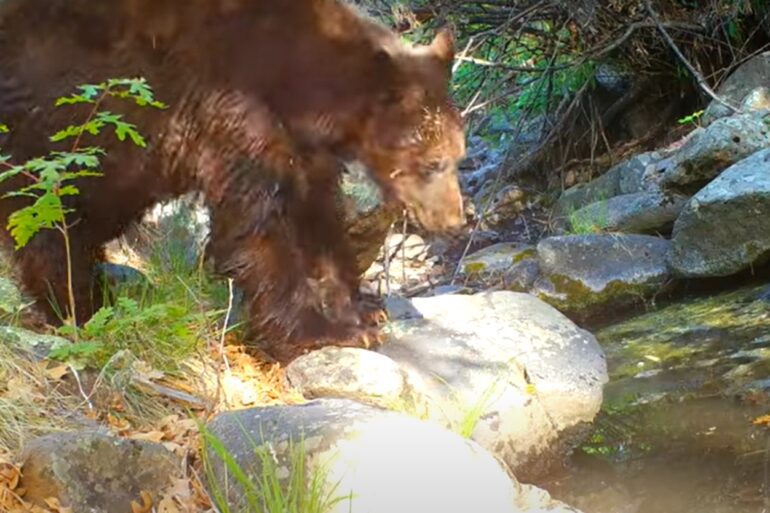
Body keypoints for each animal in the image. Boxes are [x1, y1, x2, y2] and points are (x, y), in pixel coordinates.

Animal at [0, 0, 466, 363]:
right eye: (434, 162)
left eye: (457, 157)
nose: (455, 220)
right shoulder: (234, 112)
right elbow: (263, 227)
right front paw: (323, 330)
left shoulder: (301, 148)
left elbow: (317, 216)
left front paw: (361, 306)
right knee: (46, 214)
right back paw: (80, 302)